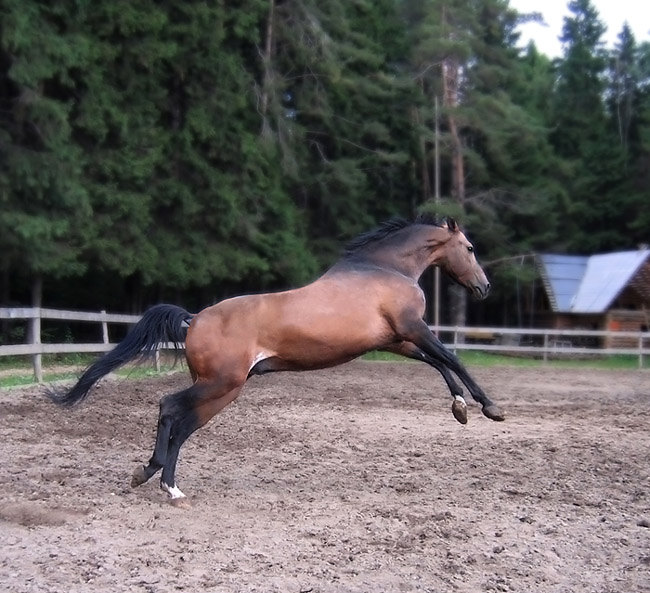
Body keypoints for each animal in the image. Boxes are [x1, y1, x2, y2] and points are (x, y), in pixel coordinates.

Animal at [50, 215, 504, 502]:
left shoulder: (397, 340)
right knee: (169, 409)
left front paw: (460, 408)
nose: (484, 287)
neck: (383, 269)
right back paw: (159, 480)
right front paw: (490, 407)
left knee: (178, 424)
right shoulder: (413, 328)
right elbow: (453, 358)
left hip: (219, 391)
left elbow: (438, 363)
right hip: (220, 385)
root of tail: (194, 319)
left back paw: (160, 481)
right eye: (469, 247)